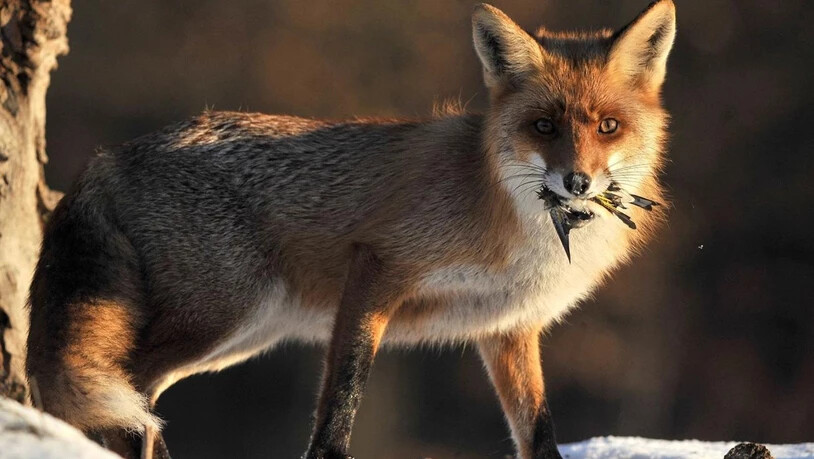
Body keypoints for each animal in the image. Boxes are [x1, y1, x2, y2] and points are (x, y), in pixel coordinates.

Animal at [26, 2, 676, 458]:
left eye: (608, 126)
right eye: (543, 126)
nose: (577, 183)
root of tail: (109, 156)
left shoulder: (508, 329)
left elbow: (538, 431)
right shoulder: (378, 267)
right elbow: (342, 396)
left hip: (240, 333)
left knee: (133, 401)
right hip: (221, 316)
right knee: (114, 393)